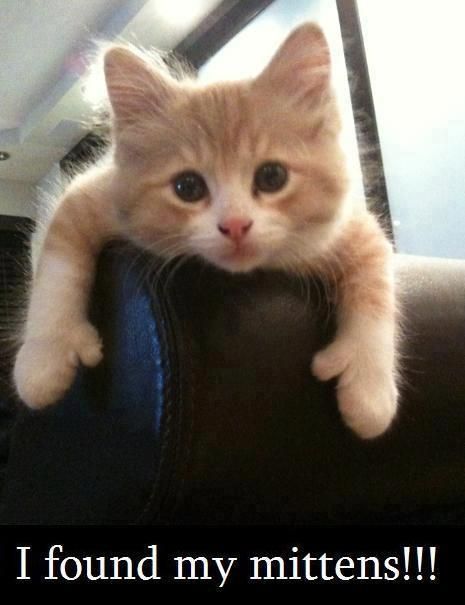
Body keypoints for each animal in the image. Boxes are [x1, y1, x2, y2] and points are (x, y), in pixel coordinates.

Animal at [15, 24, 398, 438]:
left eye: (272, 176)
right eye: (188, 187)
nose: (235, 224)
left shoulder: (349, 226)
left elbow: (377, 284)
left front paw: (369, 392)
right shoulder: (88, 195)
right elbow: (56, 266)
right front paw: (44, 361)